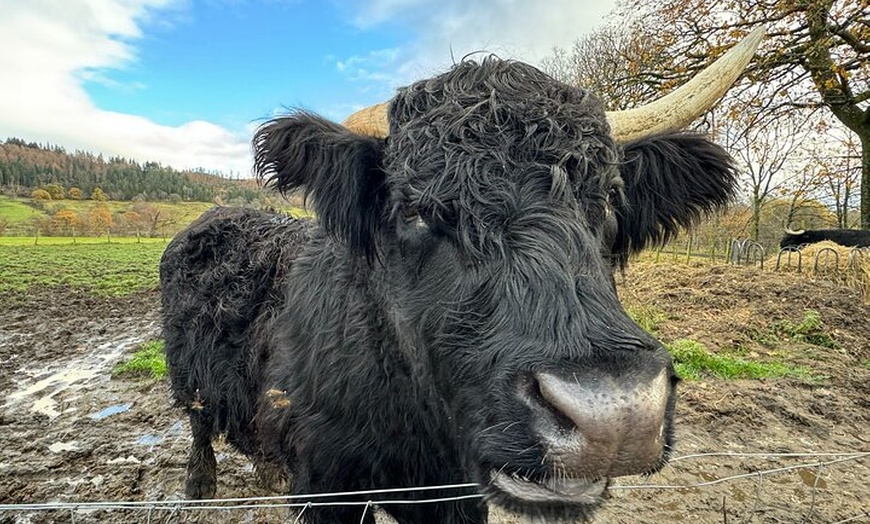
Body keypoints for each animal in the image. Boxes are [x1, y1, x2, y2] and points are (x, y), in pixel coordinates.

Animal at [160, 28, 764, 524]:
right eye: (414, 209)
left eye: (611, 201)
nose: (614, 414)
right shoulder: (325, 485)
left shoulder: (453, 495)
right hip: (186, 375)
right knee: (198, 426)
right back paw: (197, 488)